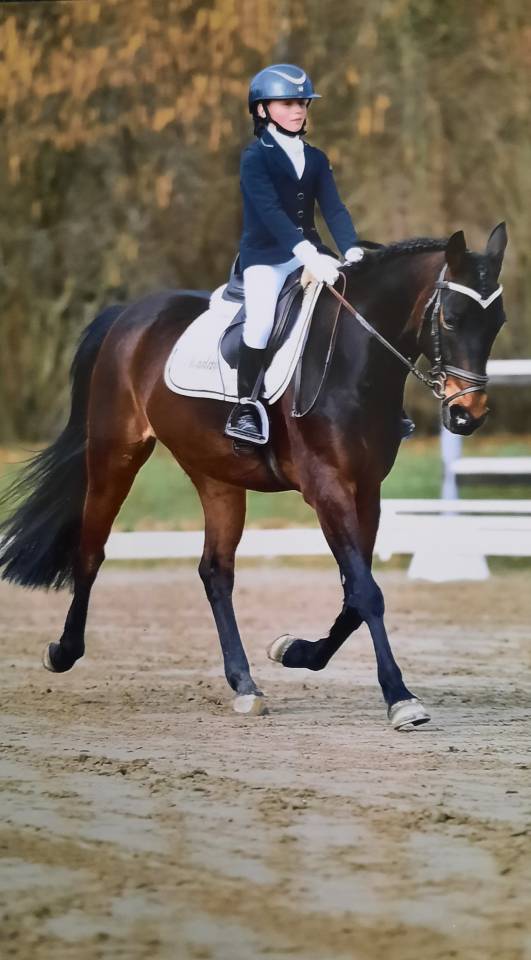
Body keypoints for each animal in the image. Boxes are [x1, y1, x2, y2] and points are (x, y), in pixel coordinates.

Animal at [0, 224, 507, 729]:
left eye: (497, 323)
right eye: (452, 319)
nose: (468, 415)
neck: (354, 358)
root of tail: (129, 313)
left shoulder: (367, 490)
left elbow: (354, 596)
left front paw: (294, 651)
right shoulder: (327, 487)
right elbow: (366, 592)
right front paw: (400, 697)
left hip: (216, 475)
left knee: (215, 571)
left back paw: (244, 684)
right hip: (115, 453)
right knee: (91, 550)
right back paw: (63, 651)